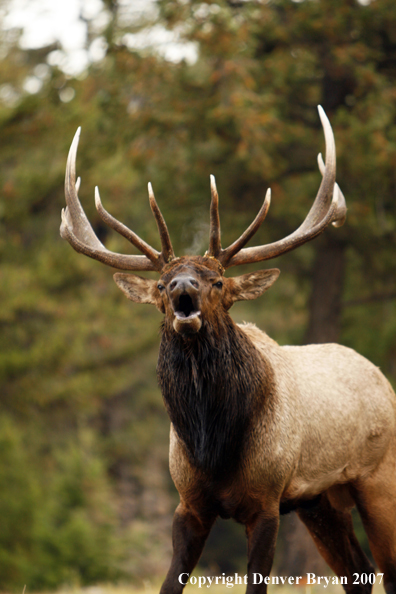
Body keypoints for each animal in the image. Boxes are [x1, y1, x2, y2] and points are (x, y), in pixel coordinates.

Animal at [59, 107, 396, 592]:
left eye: (217, 280)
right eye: (160, 285)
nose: (181, 287)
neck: (212, 444)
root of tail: (382, 378)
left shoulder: (268, 501)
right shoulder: (189, 503)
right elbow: (170, 583)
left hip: (378, 478)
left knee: (387, 568)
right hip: (320, 498)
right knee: (359, 571)